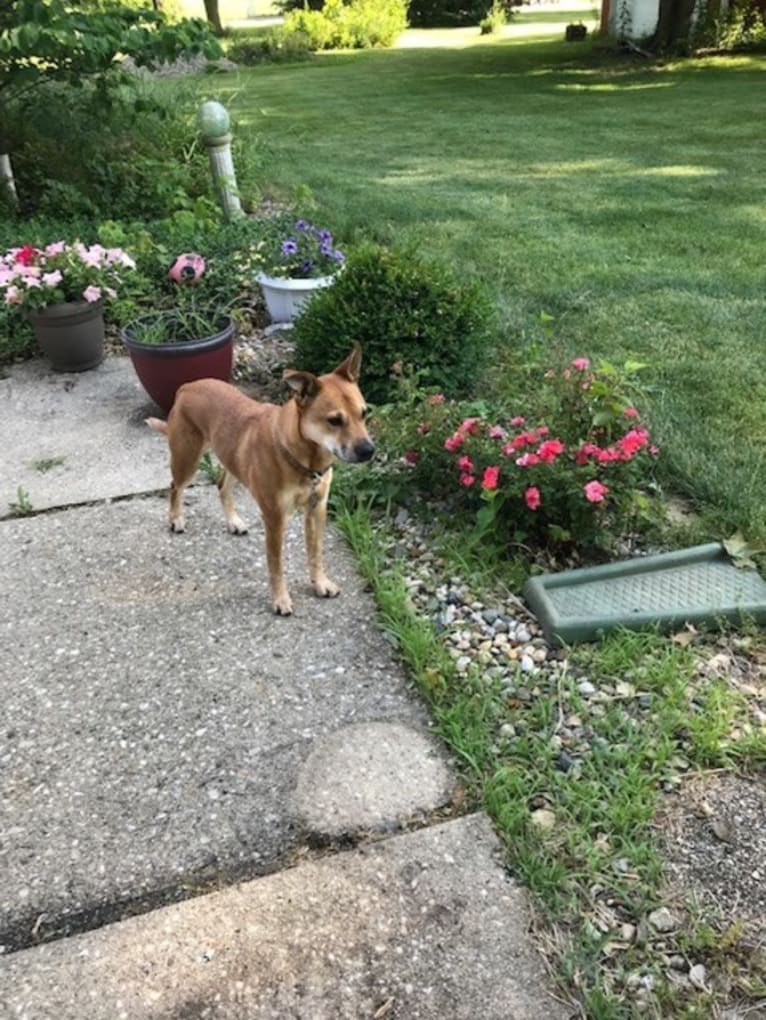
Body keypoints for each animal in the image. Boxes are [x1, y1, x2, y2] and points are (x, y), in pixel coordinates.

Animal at [146, 342, 375, 612]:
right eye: (335, 420)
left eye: (364, 413)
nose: (369, 451)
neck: (306, 461)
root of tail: (188, 386)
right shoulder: (275, 518)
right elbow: (276, 564)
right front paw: (280, 599)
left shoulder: (317, 510)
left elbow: (316, 553)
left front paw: (320, 582)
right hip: (187, 459)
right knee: (175, 486)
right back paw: (176, 519)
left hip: (232, 459)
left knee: (221, 485)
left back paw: (233, 522)